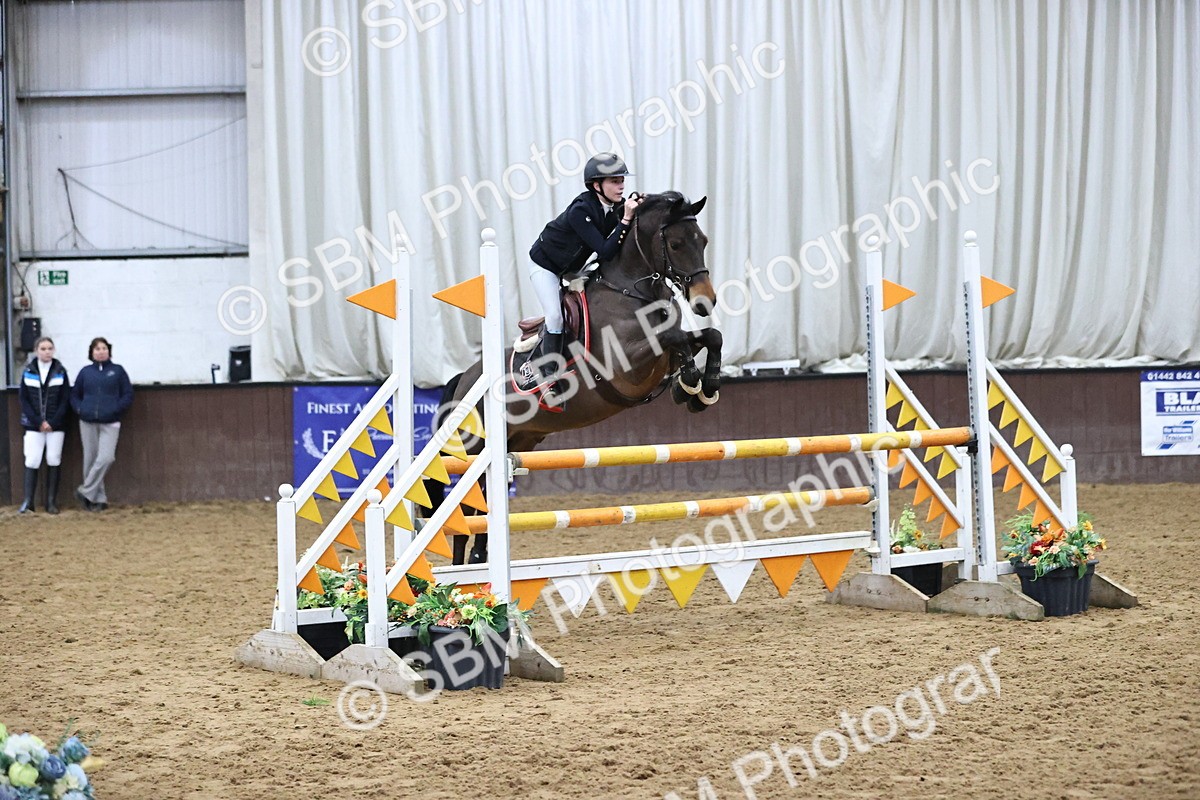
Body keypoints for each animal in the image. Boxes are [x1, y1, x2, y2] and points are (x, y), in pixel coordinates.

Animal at [431, 191, 722, 564]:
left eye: (703, 241)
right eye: (675, 243)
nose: (705, 302)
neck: (631, 292)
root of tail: (464, 379)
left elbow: (708, 336)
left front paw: (701, 388)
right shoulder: (626, 365)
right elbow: (677, 338)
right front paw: (689, 383)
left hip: (518, 442)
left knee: (483, 509)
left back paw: (479, 561)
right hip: (474, 451)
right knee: (466, 512)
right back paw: (461, 570)